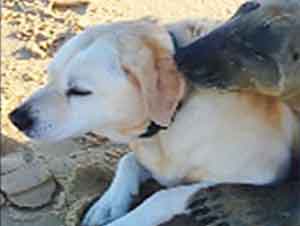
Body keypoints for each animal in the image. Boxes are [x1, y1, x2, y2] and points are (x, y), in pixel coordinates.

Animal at [9, 1, 300, 226]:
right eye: (49, 75)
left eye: (79, 91)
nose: (16, 118)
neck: (174, 118)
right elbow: (128, 160)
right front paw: (108, 204)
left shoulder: (261, 176)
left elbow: (166, 195)